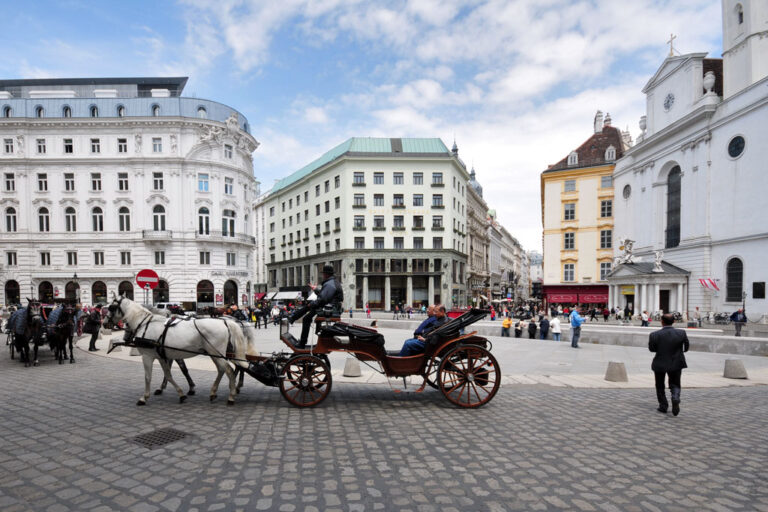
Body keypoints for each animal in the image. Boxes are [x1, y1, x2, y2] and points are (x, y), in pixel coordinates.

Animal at [105, 294, 248, 406]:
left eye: (111, 307)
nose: (105, 323)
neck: (146, 324)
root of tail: (225, 321)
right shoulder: (162, 357)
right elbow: (168, 375)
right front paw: (181, 394)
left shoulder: (147, 356)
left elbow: (148, 377)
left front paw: (144, 398)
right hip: (215, 354)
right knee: (222, 370)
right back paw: (214, 393)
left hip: (216, 353)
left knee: (228, 370)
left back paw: (231, 396)